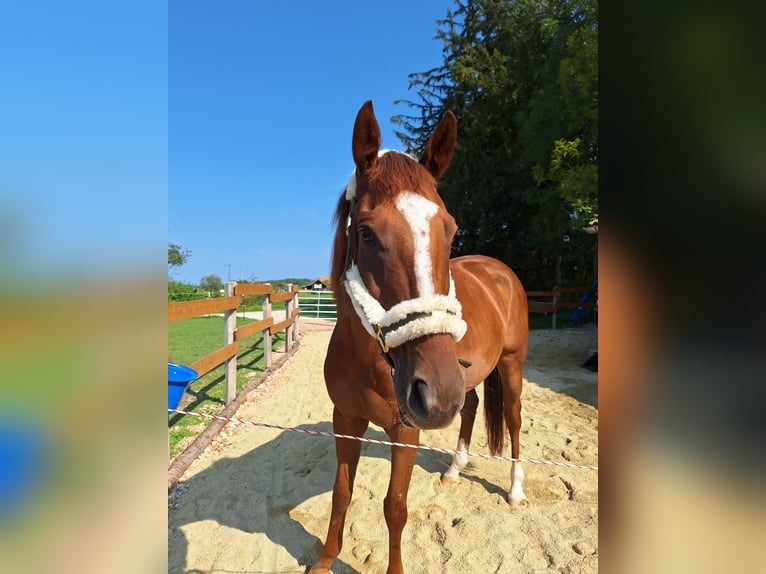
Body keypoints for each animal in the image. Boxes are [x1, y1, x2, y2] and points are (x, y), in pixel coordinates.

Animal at [310, 101, 528, 572]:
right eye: (366, 232)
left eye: (452, 230)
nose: (437, 393)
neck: (369, 360)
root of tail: (499, 269)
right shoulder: (345, 420)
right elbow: (341, 495)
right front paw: (324, 561)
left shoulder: (405, 430)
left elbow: (395, 507)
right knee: (471, 407)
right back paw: (454, 470)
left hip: (510, 366)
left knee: (514, 421)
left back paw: (516, 490)